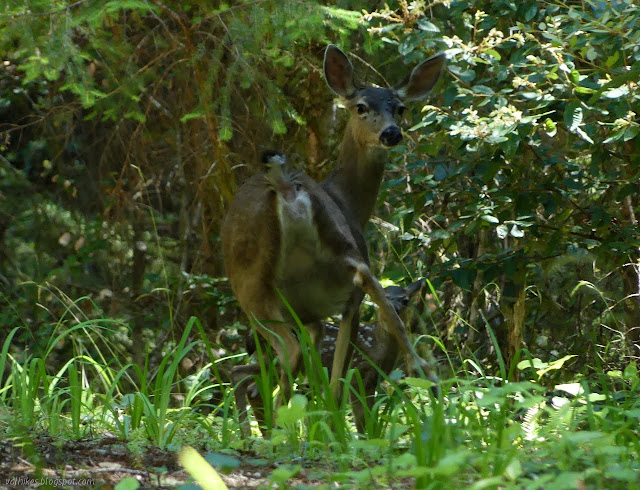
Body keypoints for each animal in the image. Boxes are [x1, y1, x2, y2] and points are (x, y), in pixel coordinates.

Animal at [222, 44, 448, 428]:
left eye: (400, 108)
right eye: (361, 107)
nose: (391, 133)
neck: (348, 201)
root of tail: (285, 187)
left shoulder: (311, 315)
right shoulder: (318, 312)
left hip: (263, 283)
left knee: (288, 359)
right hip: (299, 274)